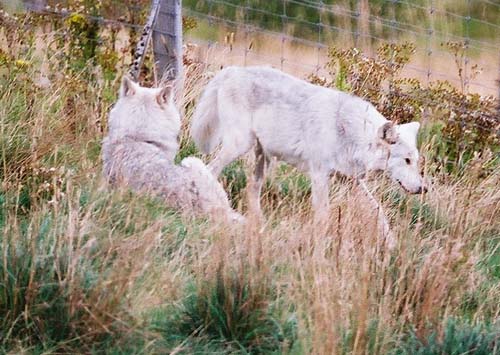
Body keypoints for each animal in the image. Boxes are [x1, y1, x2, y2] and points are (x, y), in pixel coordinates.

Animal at [190, 65, 426, 224]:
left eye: (415, 161)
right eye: (406, 160)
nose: (423, 188)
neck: (354, 134)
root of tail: (234, 69)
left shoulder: (352, 182)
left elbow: (380, 213)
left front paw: (392, 245)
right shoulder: (319, 175)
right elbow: (323, 213)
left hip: (262, 159)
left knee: (251, 189)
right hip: (240, 145)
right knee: (210, 169)